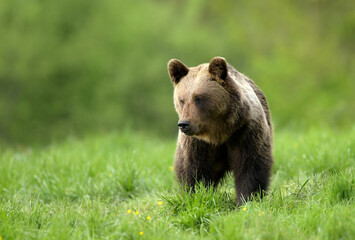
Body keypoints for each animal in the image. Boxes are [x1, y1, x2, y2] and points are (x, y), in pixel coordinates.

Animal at [168, 56, 274, 206]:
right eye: (182, 100)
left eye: (198, 98)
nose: (184, 124)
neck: (219, 134)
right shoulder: (197, 144)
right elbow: (193, 171)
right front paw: (195, 197)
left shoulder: (245, 133)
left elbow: (250, 167)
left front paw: (247, 200)